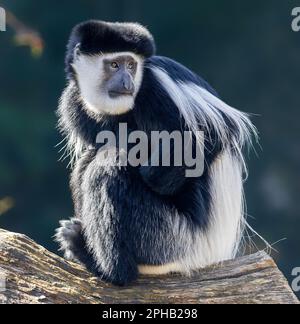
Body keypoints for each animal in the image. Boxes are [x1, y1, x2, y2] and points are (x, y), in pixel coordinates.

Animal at [55, 20, 256, 284]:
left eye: (131, 65)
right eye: (115, 64)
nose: (127, 83)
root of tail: (207, 254)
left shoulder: (155, 86)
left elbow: (213, 132)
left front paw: (142, 161)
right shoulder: (73, 103)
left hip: (169, 239)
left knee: (107, 165)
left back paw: (108, 268)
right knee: (90, 160)